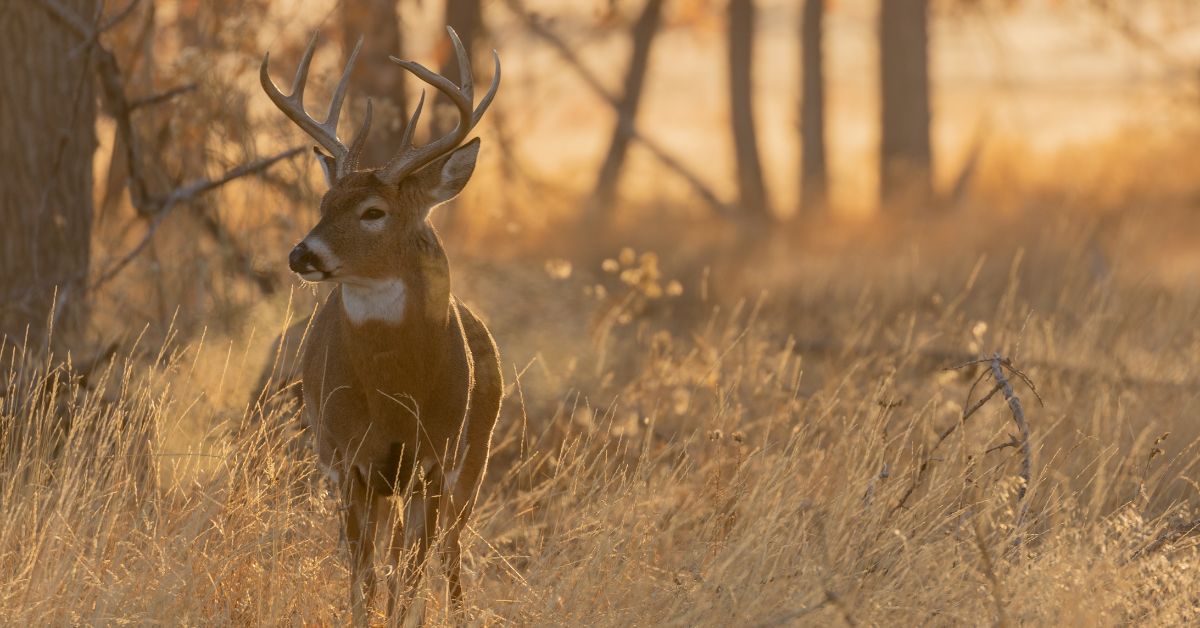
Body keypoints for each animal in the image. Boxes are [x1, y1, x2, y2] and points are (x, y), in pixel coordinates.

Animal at [259, 27, 503, 623]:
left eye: (373, 211)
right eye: (325, 201)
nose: (302, 253)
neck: (395, 394)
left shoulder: (435, 460)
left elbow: (406, 578)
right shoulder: (348, 459)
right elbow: (363, 577)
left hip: (476, 457)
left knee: (450, 553)